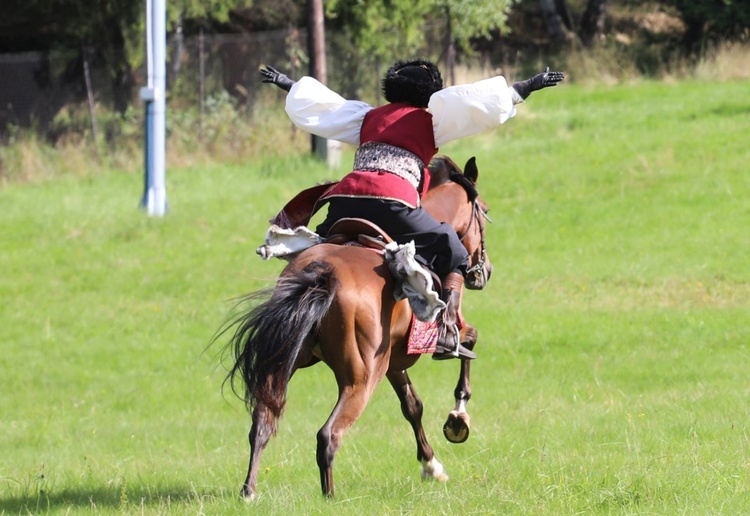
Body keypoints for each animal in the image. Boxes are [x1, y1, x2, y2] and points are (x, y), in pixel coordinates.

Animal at [223, 154, 494, 500]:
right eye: (483, 211)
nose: (484, 271)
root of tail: (322, 274)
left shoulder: (393, 362)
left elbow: (412, 406)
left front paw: (431, 466)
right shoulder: (439, 337)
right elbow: (467, 343)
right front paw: (458, 418)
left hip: (284, 362)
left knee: (262, 421)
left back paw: (249, 492)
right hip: (360, 379)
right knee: (328, 434)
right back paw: (329, 497)